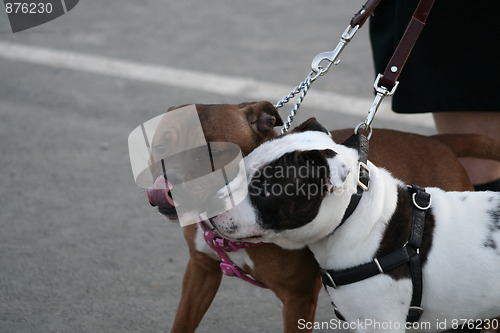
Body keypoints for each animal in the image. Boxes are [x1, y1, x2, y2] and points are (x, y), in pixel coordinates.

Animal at [150, 102, 500, 332]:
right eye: (160, 147)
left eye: (214, 153)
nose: (165, 190)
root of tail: (436, 142)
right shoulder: (201, 270)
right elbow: (182, 322)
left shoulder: (298, 299)